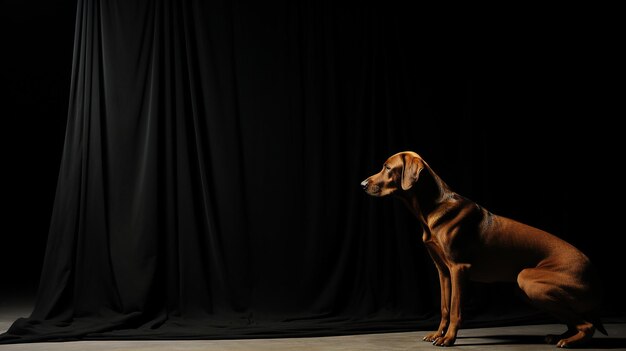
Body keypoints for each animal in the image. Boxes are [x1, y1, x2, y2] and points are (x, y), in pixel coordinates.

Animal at [360, 153, 604, 348]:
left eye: (387, 168)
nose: (362, 184)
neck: (431, 207)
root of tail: (592, 271)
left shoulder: (459, 269)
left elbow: (456, 309)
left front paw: (449, 338)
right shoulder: (443, 271)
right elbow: (445, 307)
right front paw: (438, 334)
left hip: (527, 279)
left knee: (588, 325)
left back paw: (569, 341)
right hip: (526, 290)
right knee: (577, 320)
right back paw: (560, 336)